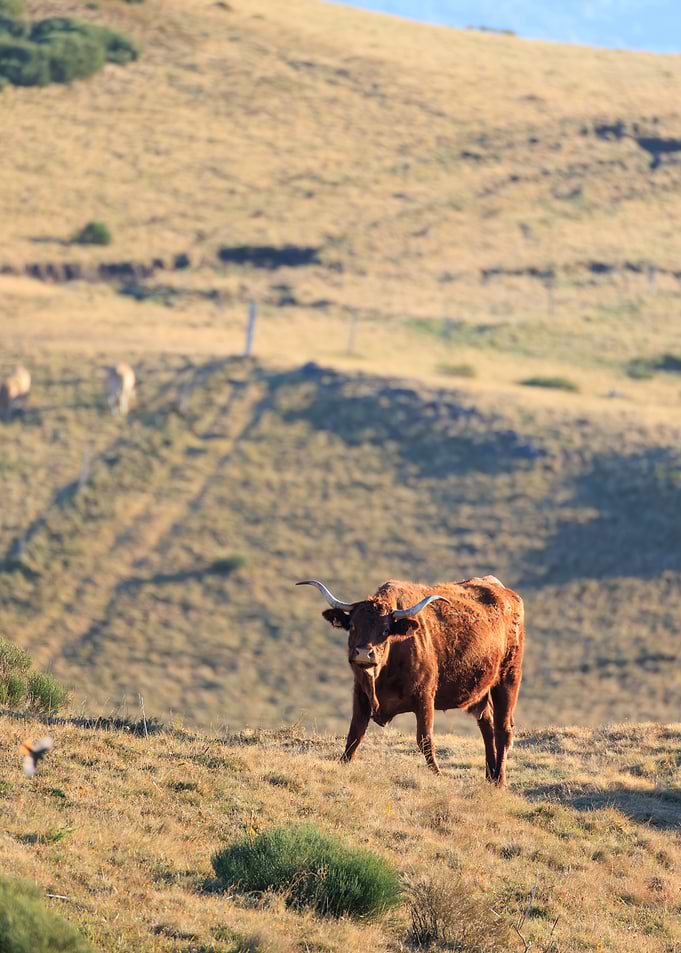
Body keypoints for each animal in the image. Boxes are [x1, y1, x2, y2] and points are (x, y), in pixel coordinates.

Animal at [296, 575, 524, 786]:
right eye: (352, 625)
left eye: (385, 630)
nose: (363, 653)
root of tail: (506, 593)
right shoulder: (360, 694)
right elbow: (354, 736)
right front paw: (343, 764)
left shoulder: (425, 697)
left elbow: (425, 740)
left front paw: (437, 775)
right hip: (482, 691)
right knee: (487, 725)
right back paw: (490, 778)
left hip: (508, 677)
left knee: (503, 729)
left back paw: (500, 781)